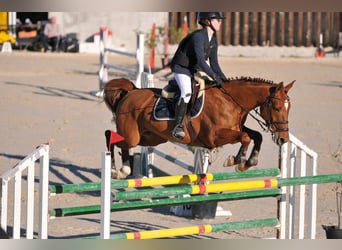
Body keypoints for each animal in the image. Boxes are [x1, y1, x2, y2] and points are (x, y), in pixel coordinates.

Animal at [103, 77, 294, 179]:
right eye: (277, 108)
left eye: (288, 108)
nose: (283, 139)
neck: (232, 101)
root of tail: (130, 92)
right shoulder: (214, 137)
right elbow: (245, 138)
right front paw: (236, 160)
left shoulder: (237, 128)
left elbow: (255, 136)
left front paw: (249, 162)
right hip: (132, 136)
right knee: (111, 137)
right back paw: (116, 170)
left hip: (151, 138)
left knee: (122, 144)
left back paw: (124, 169)